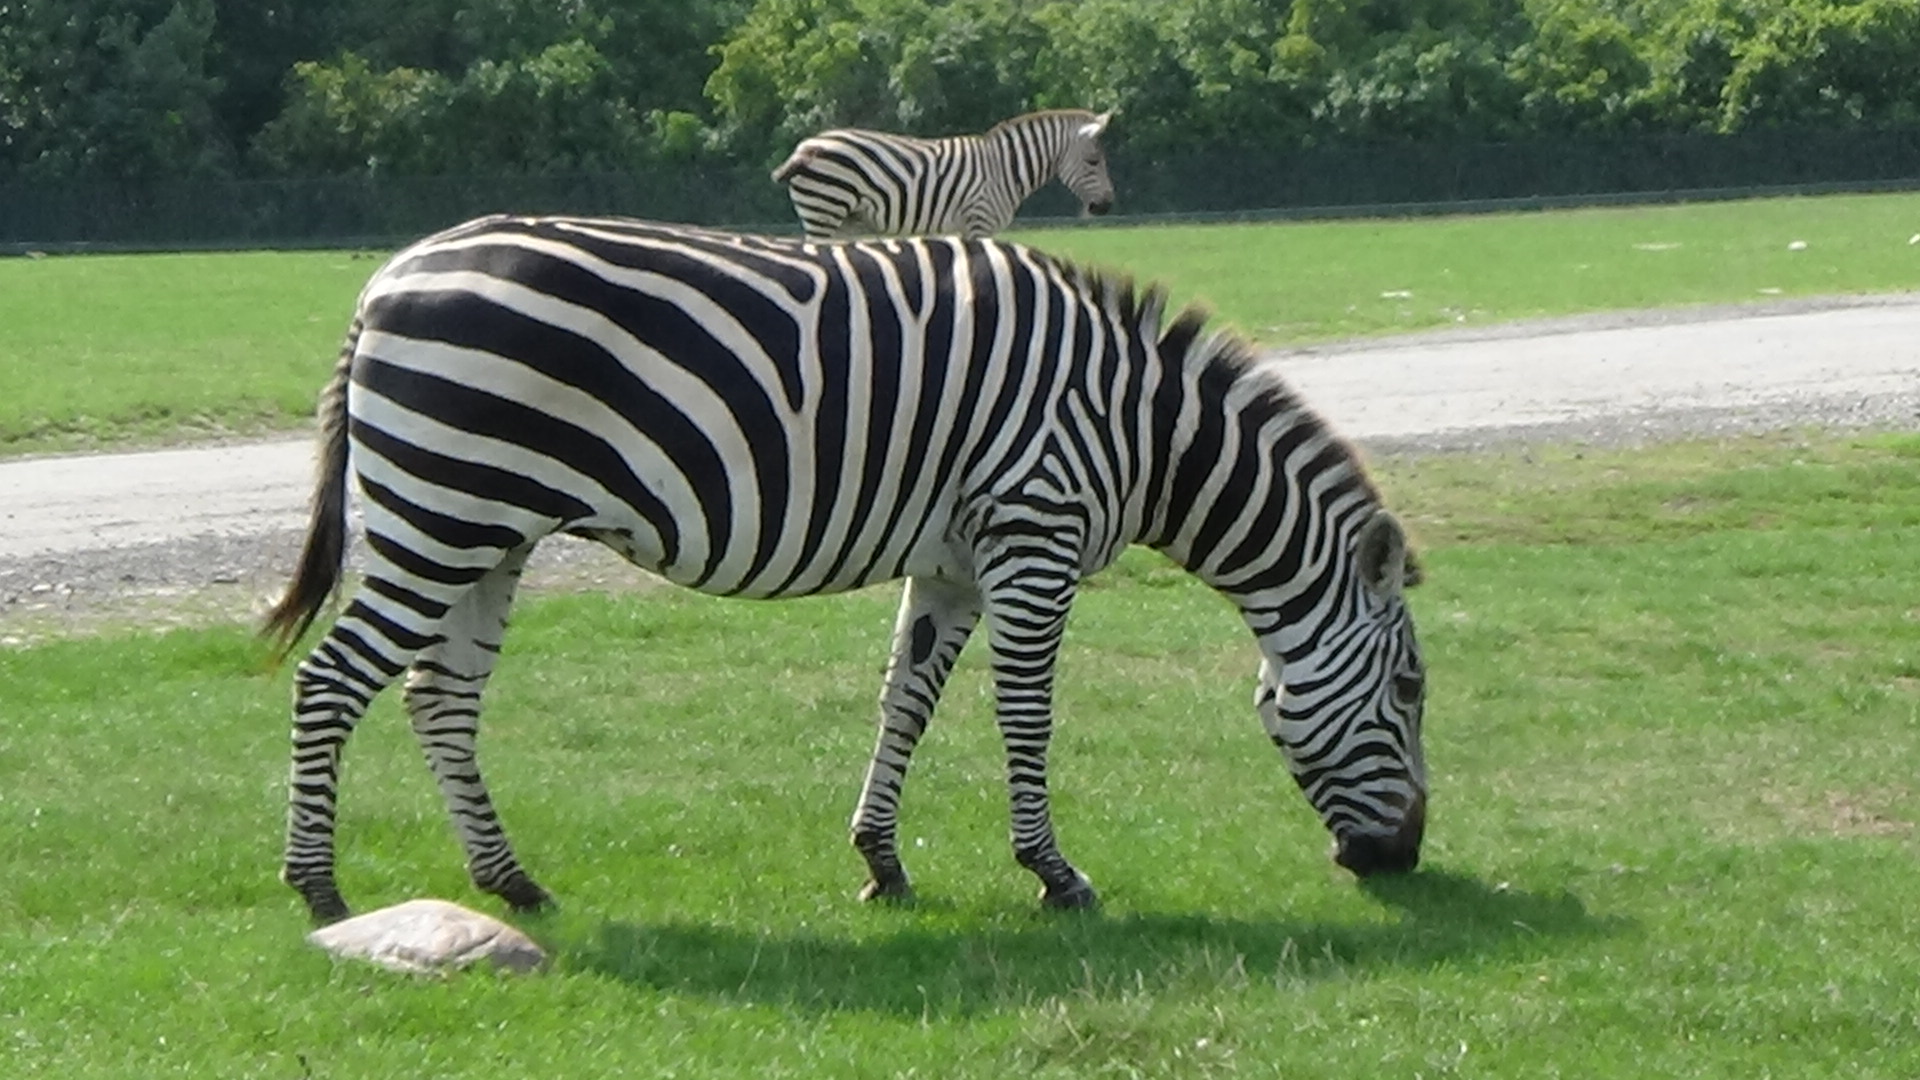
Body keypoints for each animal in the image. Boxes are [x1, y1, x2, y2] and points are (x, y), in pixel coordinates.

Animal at [263, 213, 1428, 925]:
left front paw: (882, 862)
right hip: (442, 513)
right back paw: (319, 890)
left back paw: (511, 882)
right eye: (1412, 690)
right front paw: (1055, 874)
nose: (1408, 860)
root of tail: (386, 278)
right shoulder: (1034, 532)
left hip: (487, 531)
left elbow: (905, 700)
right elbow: (1027, 715)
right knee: (332, 681)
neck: (1143, 430)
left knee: (438, 698)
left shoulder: (956, 562)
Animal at [771, 109, 1117, 240]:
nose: (1106, 206)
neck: (1004, 170)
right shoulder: (979, 221)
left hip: (837, 218)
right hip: (823, 210)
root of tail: (805, 147)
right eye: (1093, 162)